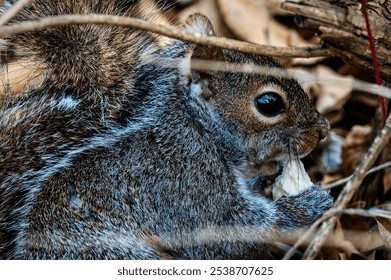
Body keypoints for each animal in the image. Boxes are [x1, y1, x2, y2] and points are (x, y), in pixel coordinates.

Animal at [0, 0, 334, 260]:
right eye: (269, 103)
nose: (322, 131)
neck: (195, 123)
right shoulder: (183, 180)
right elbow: (229, 233)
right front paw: (306, 207)